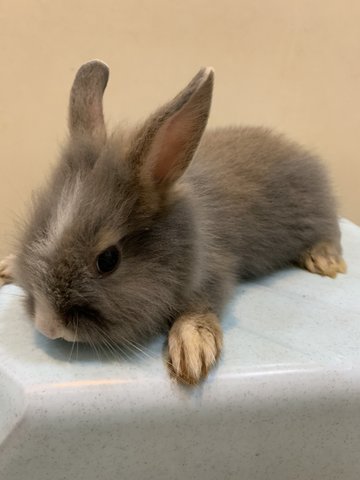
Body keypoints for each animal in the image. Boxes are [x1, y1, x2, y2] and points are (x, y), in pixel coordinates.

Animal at [0, 59, 346, 386]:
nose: (47, 325)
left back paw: (324, 260)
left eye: (108, 260)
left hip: (318, 213)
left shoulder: (214, 271)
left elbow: (200, 306)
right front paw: (7, 265)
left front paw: (191, 349)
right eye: (35, 229)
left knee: (331, 231)